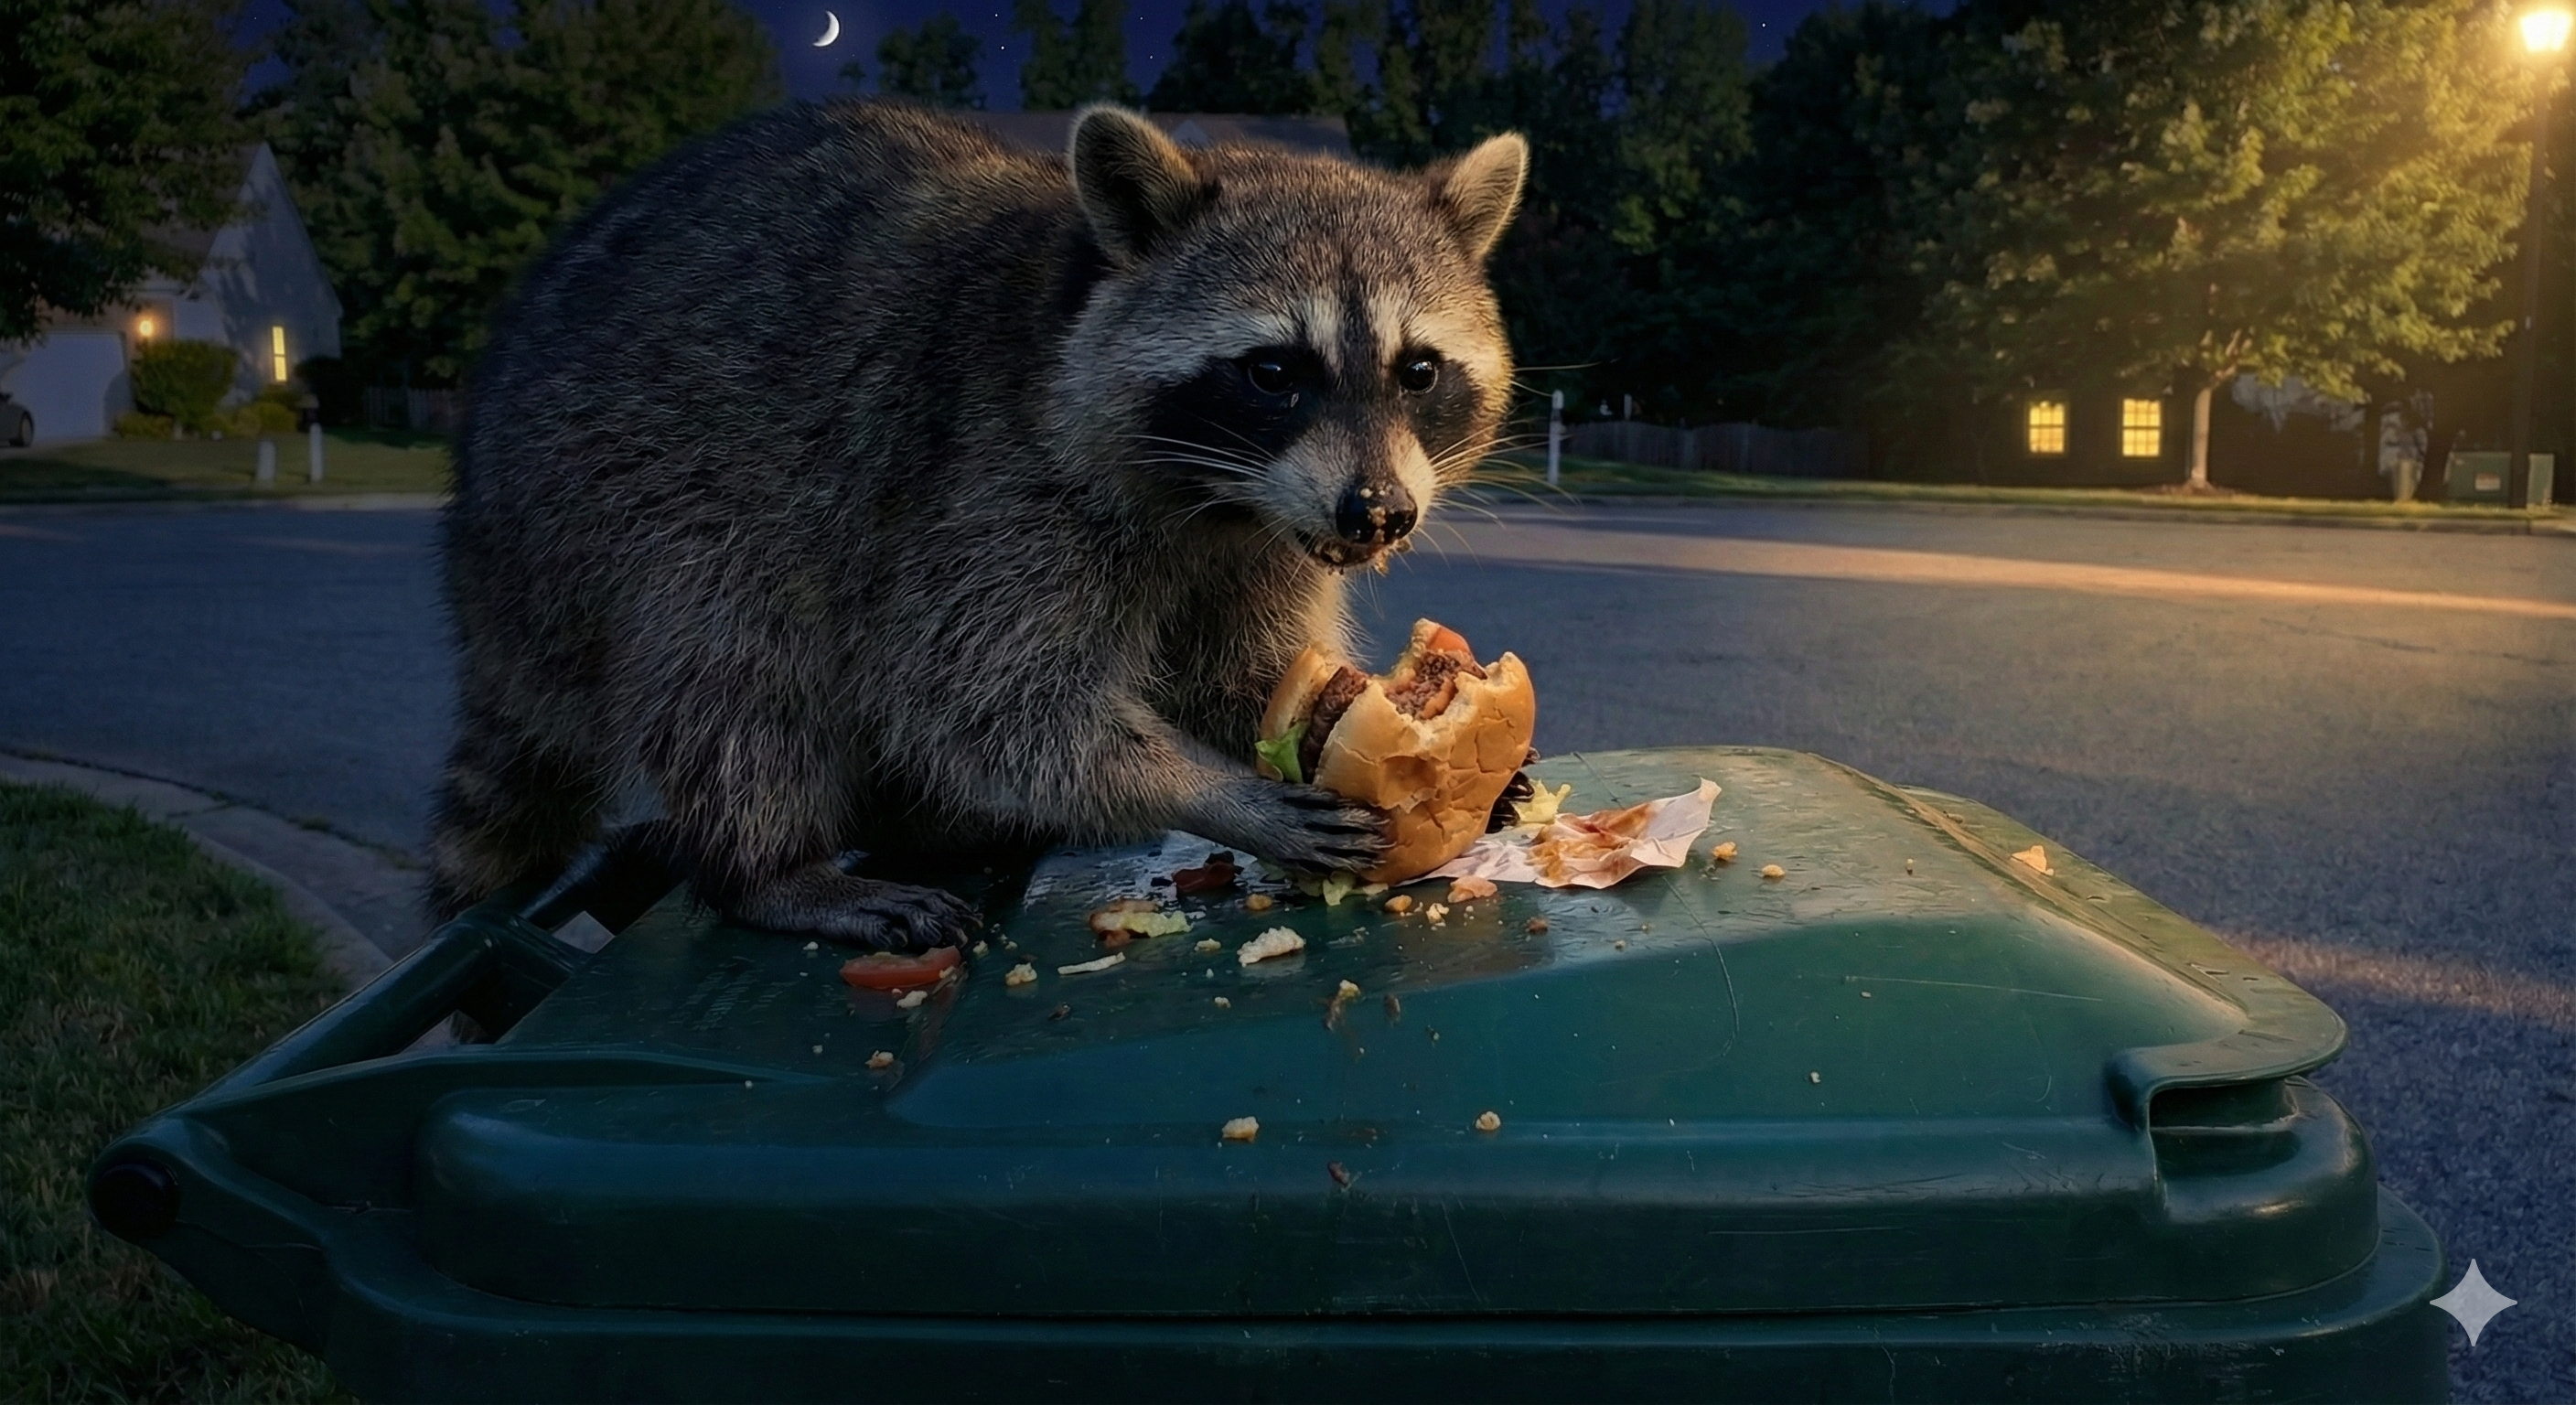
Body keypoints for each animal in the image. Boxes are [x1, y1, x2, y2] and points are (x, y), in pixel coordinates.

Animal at [431, 100, 1527, 947]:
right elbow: (986, 705)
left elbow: (1238, 673)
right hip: (614, 505)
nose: (1379, 514)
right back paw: (766, 867)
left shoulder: (1259, 540)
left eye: (1417, 371)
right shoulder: (984, 484)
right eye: (1272, 372)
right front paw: (1206, 789)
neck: (1219, 500)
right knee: (732, 664)